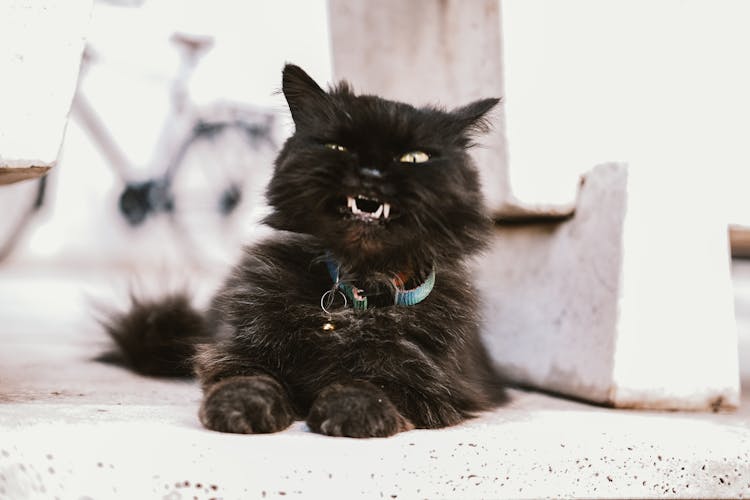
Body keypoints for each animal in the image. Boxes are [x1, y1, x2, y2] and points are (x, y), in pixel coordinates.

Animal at [104, 64, 506, 436]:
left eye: (414, 158)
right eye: (338, 147)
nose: (371, 173)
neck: (358, 290)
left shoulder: (429, 381)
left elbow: (371, 383)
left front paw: (351, 410)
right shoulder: (240, 346)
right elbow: (249, 377)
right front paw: (240, 408)